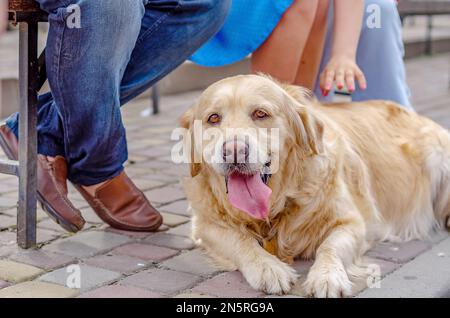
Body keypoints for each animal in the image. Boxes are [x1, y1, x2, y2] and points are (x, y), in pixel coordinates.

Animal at [179, 75, 450, 298]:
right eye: (213, 118)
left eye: (260, 114)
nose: (234, 151)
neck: (277, 206)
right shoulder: (205, 225)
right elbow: (240, 241)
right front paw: (269, 267)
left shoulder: (352, 223)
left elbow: (330, 246)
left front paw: (327, 277)